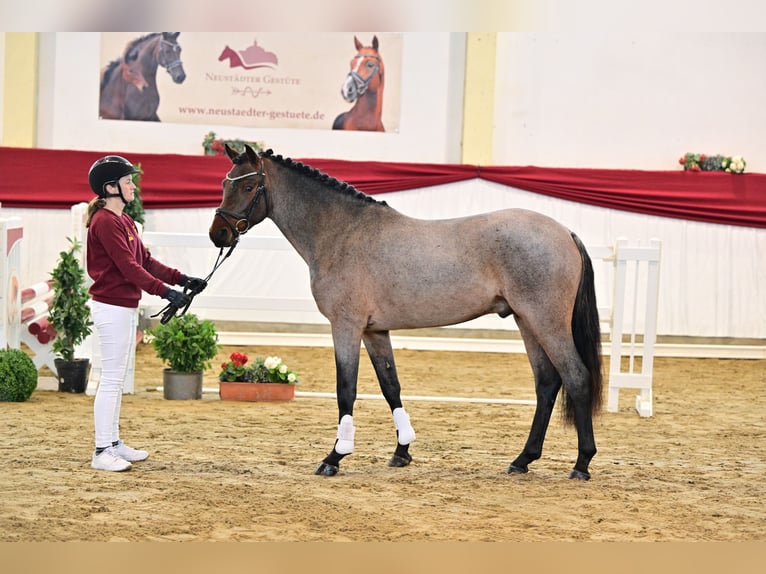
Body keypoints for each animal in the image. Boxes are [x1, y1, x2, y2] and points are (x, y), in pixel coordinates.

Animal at [210, 145, 608, 482]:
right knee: (547, 383)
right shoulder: (374, 331)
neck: (343, 233)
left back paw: (581, 463)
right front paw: (402, 451)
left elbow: (346, 389)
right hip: (527, 321)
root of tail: (565, 233)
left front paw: (334, 457)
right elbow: (391, 386)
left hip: (546, 321)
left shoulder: (346, 326)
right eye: (225, 183)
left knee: (575, 377)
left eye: (248, 187)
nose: (219, 234)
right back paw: (523, 459)